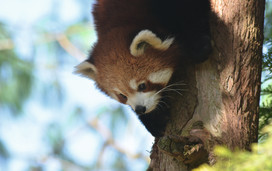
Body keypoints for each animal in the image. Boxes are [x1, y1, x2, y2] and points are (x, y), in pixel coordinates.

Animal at [75, 0, 212, 136]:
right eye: (122, 96)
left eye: (142, 86)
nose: (140, 109)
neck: (121, 21)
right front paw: (155, 121)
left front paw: (197, 46)